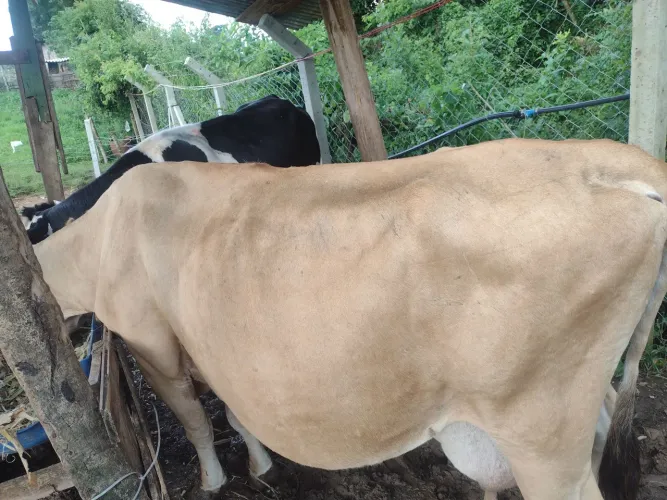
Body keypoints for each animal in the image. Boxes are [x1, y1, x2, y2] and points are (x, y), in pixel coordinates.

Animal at [32, 138, 667, 500]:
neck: (100, 234)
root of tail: (626, 165)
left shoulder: (152, 344)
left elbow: (194, 420)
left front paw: (214, 482)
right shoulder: (209, 350)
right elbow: (234, 412)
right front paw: (261, 465)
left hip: (540, 429)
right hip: (580, 398)